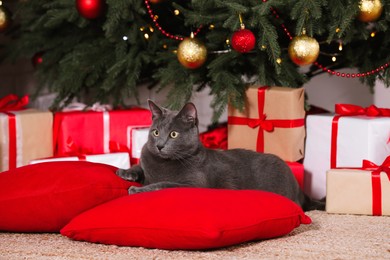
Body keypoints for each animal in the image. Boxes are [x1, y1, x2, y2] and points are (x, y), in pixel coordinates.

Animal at [117, 99, 324, 211]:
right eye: (155, 132)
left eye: (173, 134)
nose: (159, 146)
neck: (161, 163)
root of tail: (300, 189)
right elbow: (140, 166)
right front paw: (125, 171)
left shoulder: (194, 184)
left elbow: (163, 184)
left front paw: (137, 190)